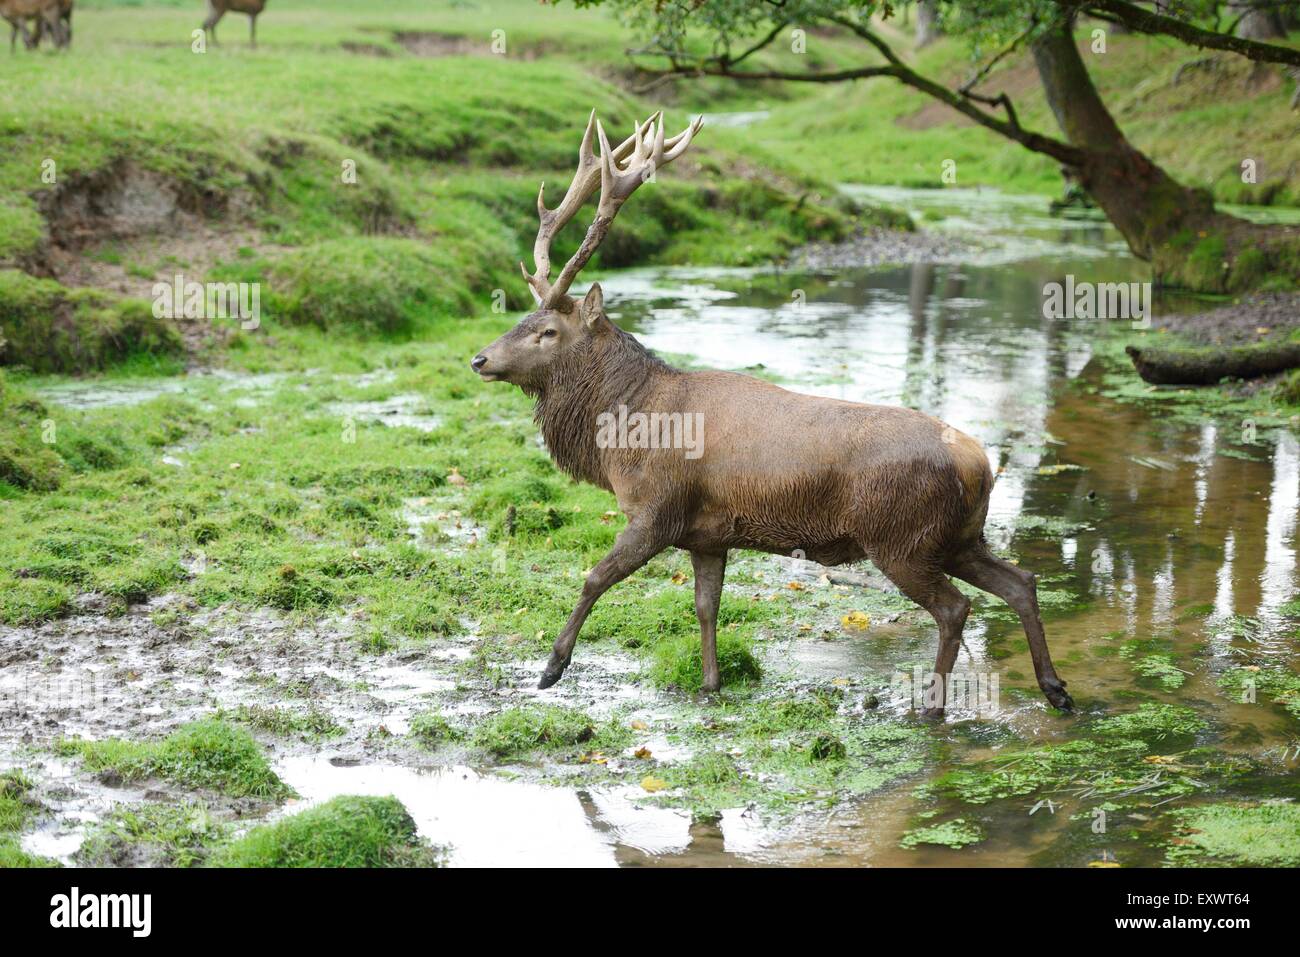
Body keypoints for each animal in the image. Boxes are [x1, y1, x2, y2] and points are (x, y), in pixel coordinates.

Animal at [473, 110, 1071, 717]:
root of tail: (980, 463)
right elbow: (706, 605)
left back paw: (932, 706)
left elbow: (594, 578)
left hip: (900, 535)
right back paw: (1055, 688)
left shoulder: (656, 510)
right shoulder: (707, 534)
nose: (480, 358)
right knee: (1021, 581)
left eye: (548, 331)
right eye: (522, 319)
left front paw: (551, 668)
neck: (626, 436)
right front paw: (710, 682)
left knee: (955, 608)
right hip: (958, 537)